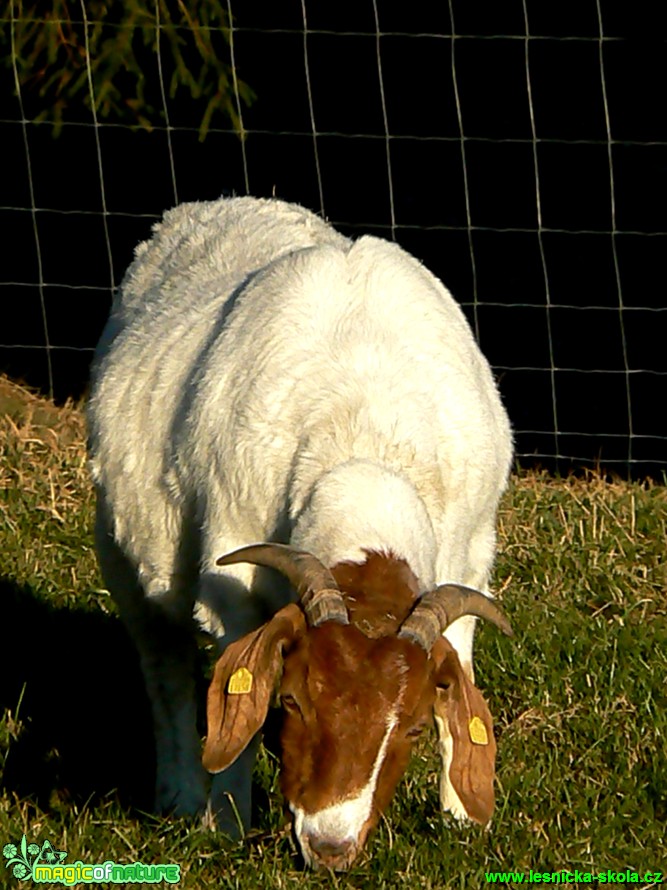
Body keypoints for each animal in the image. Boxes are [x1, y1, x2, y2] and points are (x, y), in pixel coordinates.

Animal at [88, 194, 516, 868]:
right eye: (291, 700)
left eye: (415, 725)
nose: (330, 846)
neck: (365, 436)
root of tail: (217, 204)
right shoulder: (230, 576)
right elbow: (238, 686)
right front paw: (226, 824)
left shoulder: (470, 562)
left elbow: (462, 678)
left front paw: (461, 821)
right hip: (120, 556)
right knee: (165, 671)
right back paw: (180, 796)